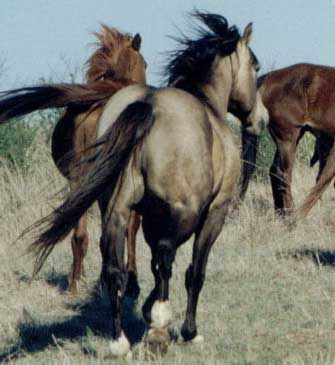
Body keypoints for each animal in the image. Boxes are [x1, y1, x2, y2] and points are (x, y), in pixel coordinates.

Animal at [20, 12, 266, 356]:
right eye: (256, 66)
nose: (261, 119)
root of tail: (147, 104)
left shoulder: (148, 215)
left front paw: (148, 308)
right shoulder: (212, 213)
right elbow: (193, 270)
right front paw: (185, 330)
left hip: (116, 209)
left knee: (114, 268)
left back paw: (119, 341)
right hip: (182, 212)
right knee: (166, 258)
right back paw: (158, 330)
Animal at [242, 62, 335, 213]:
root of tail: (268, 78)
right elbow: (323, 181)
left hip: (290, 139)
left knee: (274, 171)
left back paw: (281, 213)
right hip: (288, 139)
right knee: (283, 174)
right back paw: (290, 213)